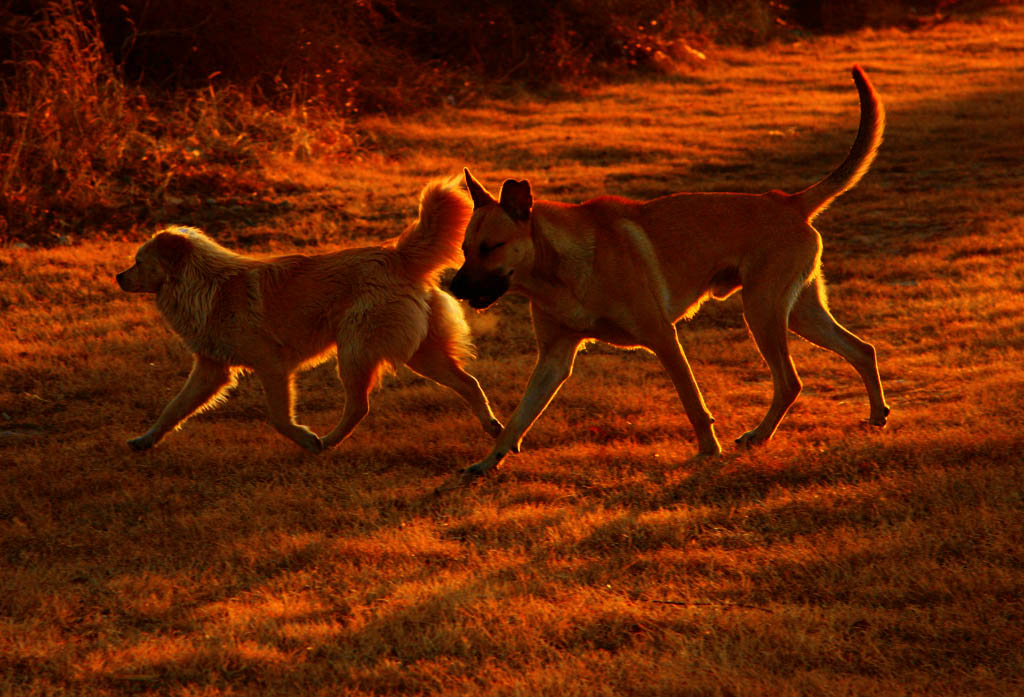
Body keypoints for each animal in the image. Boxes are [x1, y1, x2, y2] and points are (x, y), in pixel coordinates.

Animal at [117, 177, 501, 454]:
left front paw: (304, 438)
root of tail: (395, 255)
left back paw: (327, 442)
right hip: (421, 354)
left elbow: (278, 417)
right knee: (468, 383)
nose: (118, 277)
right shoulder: (211, 369)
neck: (205, 283)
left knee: (359, 406)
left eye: (138, 261)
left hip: (354, 352)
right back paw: (494, 428)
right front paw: (145, 440)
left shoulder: (272, 366)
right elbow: (173, 408)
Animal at [448, 66, 888, 478]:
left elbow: (693, 404)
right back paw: (876, 414)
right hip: (797, 313)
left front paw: (709, 452)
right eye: (465, 249)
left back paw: (760, 435)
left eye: (491, 247)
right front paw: (487, 462)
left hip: (763, 312)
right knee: (860, 350)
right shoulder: (554, 359)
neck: (559, 270)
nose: (454, 288)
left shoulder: (663, 337)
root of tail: (787, 201)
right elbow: (517, 420)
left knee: (790, 381)